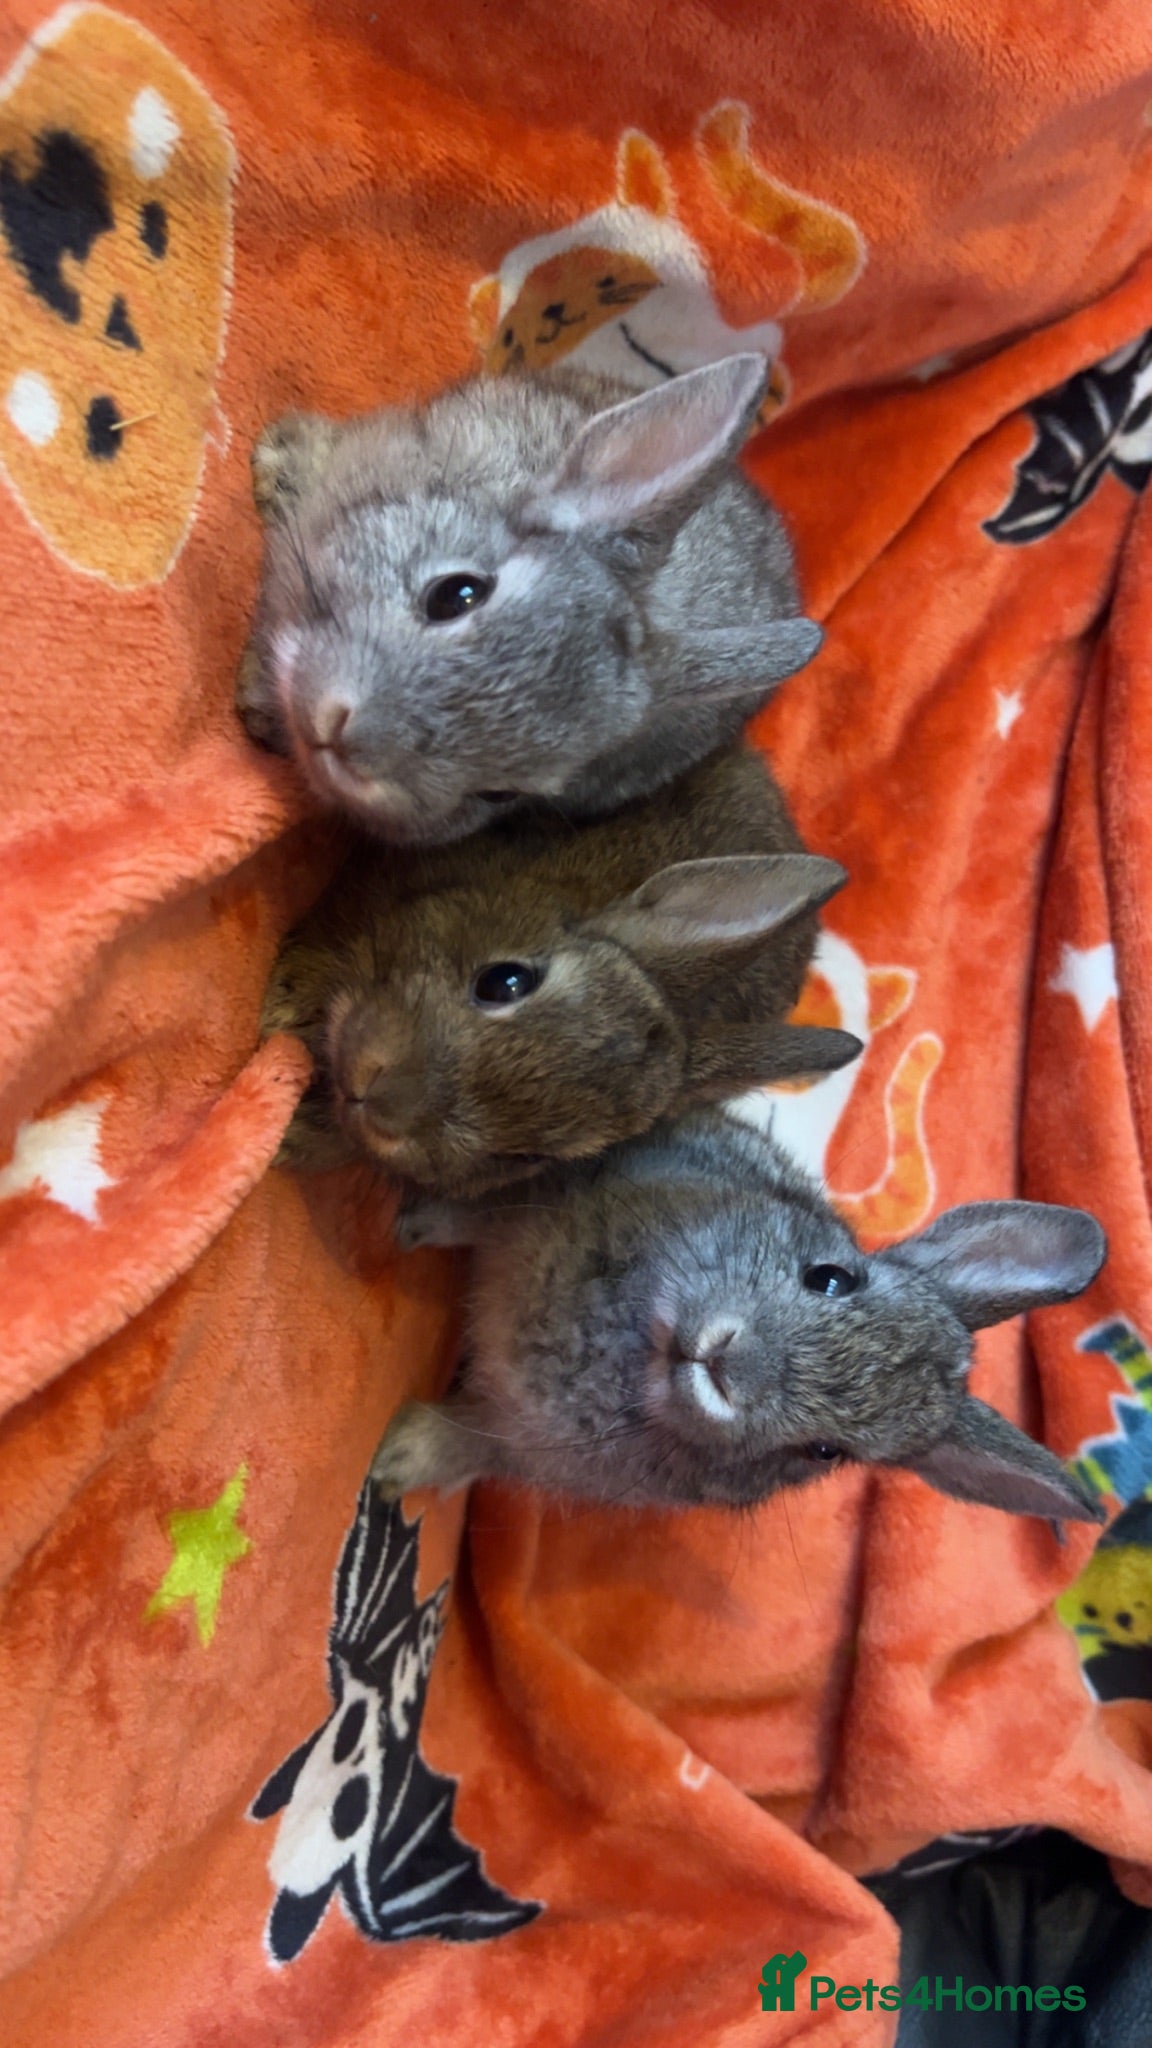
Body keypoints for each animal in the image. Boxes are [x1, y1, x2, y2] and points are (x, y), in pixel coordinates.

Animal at [371, 1107, 1107, 1525]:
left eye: (825, 1451)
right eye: (832, 1277)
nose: (730, 1366)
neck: (638, 1356)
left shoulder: (523, 1447)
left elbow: (471, 1443)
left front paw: (397, 1462)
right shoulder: (559, 1187)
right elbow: (482, 1211)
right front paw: (413, 1222)